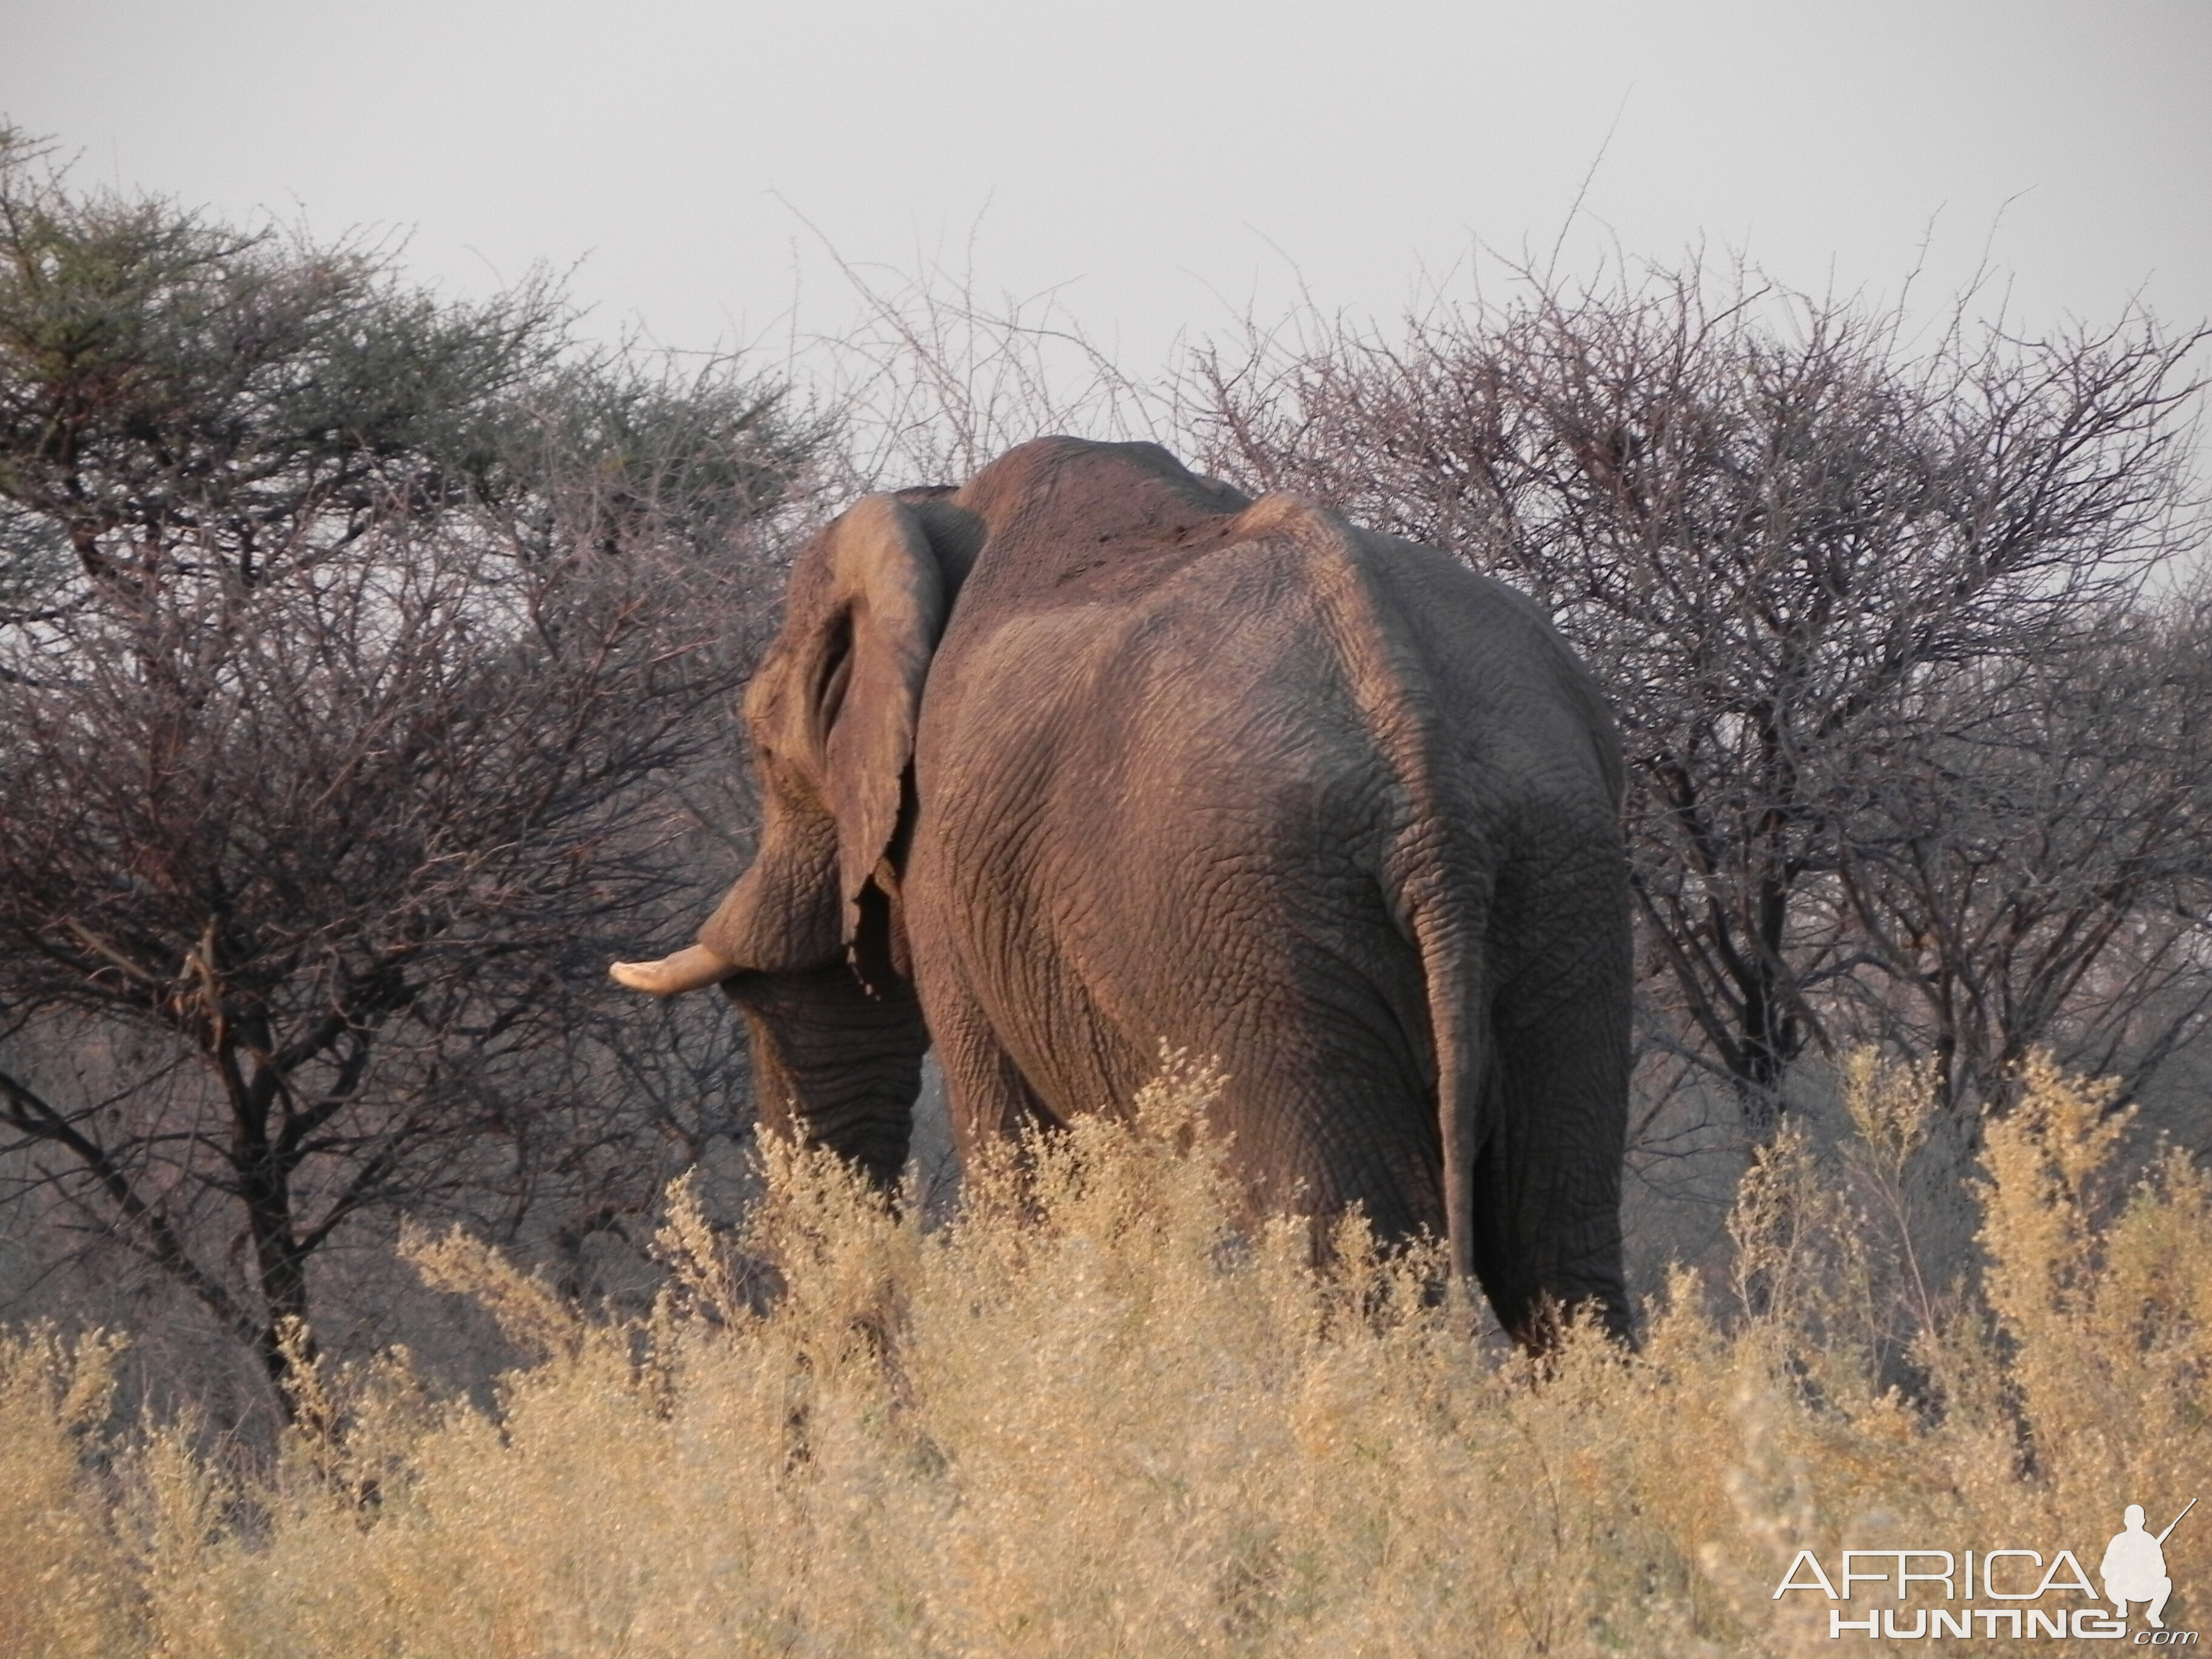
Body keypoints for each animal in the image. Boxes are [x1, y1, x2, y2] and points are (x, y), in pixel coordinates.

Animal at [615, 435, 1637, 1344]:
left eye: (759, 748)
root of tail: (1421, 755)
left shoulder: (955, 873)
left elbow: (1023, 1172)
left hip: (1253, 923)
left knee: (1348, 1253)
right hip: (1563, 880)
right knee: (1558, 1249)